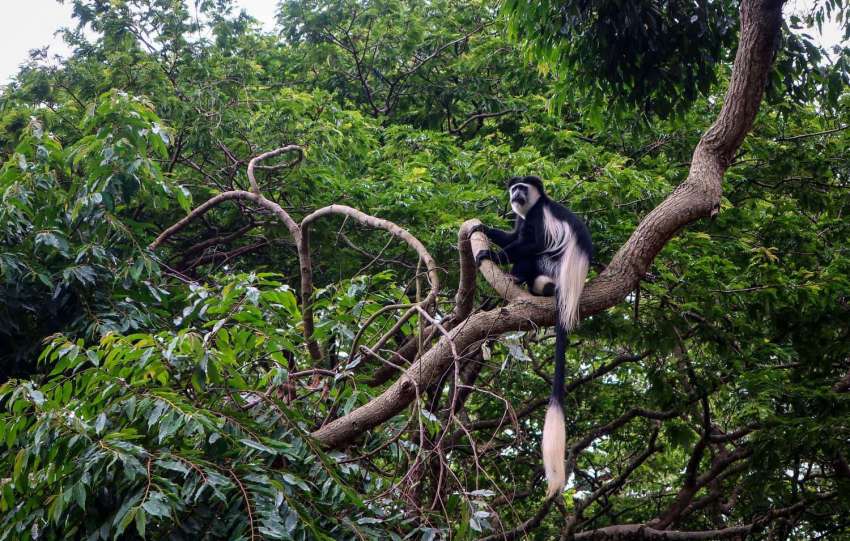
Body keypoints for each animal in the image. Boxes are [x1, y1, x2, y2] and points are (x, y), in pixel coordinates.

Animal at [470, 175, 588, 496]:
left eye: (523, 188)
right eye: (514, 188)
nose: (516, 194)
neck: (534, 204)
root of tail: (569, 289)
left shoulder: (537, 217)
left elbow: (530, 242)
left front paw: (491, 254)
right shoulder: (520, 218)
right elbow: (513, 235)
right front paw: (484, 230)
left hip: (552, 266)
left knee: (534, 254)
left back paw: (521, 278)